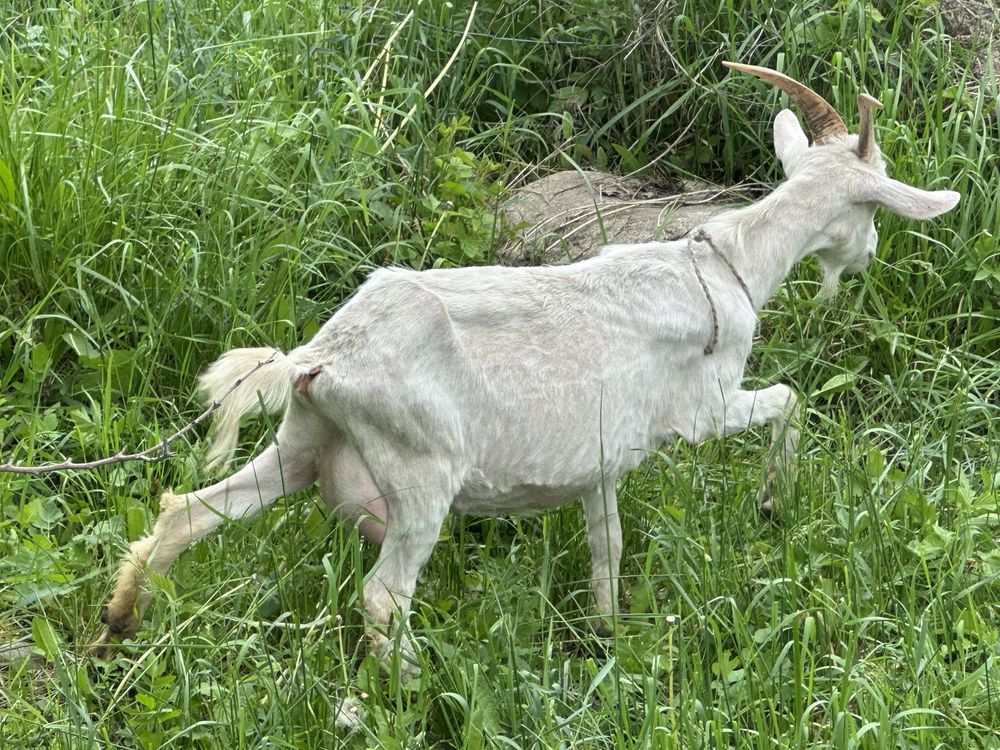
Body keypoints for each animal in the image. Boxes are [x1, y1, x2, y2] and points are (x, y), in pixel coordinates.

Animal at [95, 64, 960, 672]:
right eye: (875, 205)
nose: (868, 258)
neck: (731, 266)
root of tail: (318, 359)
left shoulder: (603, 462)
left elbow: (608, 547)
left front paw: (610, 633)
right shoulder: (700, 410)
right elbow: (789, 398)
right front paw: (775, 502)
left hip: (303, 445)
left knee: (185, 513)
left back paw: (119, 626)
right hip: (419, 472)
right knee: (383, 596)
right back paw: (417, 689)